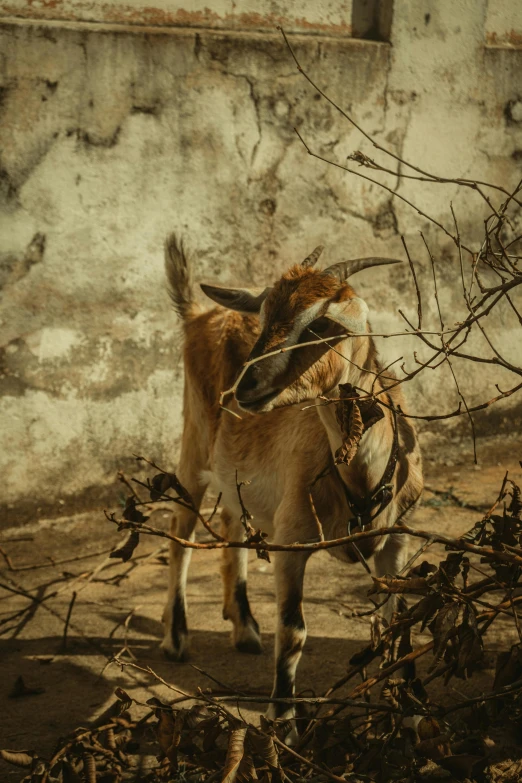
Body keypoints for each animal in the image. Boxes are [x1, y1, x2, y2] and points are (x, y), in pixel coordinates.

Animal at [160, 236, 420, 732]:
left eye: (321, 324)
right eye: (264, 317)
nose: (244, 389)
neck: (359, 478)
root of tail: (199, 313)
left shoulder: (398, 541)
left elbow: (400, 621)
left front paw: (413, 706)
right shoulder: (292, 540)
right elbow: (294, 628)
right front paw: (282, 716)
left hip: (234, 471)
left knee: (233, 523)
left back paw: (243, 627)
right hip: (194, 442)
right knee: (181, 529)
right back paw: (176, 638)